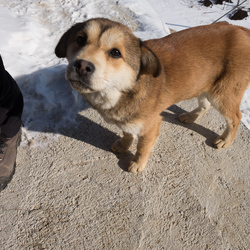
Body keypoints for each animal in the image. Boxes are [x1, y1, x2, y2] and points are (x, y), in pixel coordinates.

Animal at [55, 18, 250, 173]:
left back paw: (225, 140)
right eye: (80, 39)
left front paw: (137, 163)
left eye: (115, 52)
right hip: (201, 83)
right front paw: (124, 144)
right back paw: (190, 117)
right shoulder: (128, 118)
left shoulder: (152, 124)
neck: (123, 89)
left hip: (223, 94)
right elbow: (127, 132)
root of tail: (241, 30)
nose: (82, 66)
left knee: (235, 117)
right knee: (205, 104)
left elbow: (142, 147)